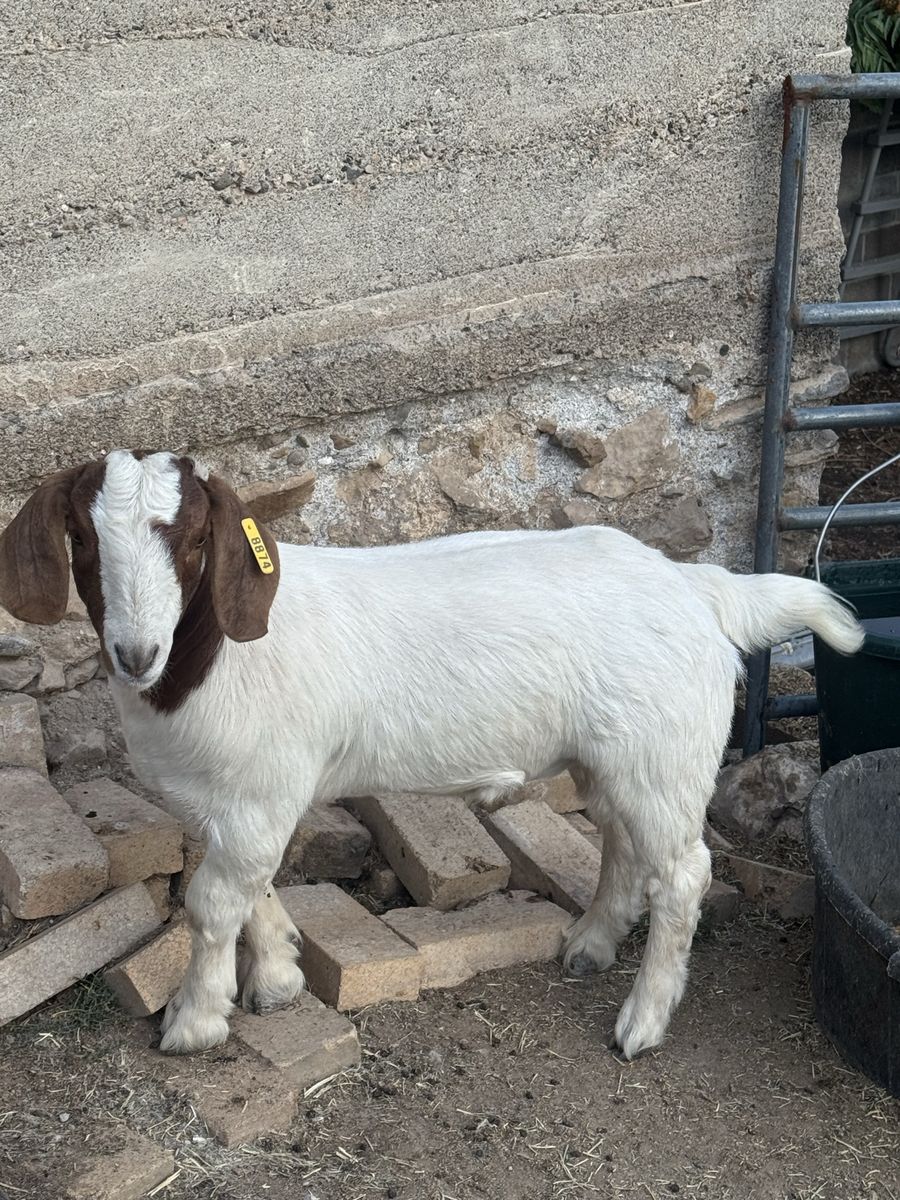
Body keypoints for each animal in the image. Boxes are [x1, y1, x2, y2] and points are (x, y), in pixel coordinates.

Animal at [0, 450, 863, 1057]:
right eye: (82, 538)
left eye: (193, 540)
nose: (135, 652)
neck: (212, 655)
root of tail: (698, 589)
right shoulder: (241, 803)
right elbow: (251, 889)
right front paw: (278, 974)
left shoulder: (260, 793)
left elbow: (212, 903)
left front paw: (194, 1021)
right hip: (617, 757)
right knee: (623, 842)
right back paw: (590, 945)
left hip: (665, 752)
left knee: (684, 874)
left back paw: (642, 1023)